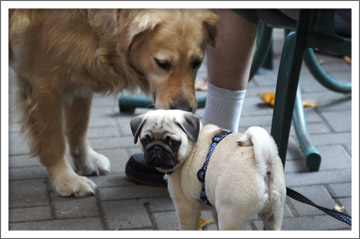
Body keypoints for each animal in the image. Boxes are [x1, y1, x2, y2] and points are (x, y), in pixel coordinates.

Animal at [9, 8, 218, 196]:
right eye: (162, 63)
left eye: (197, 62)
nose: (184, 110)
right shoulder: (44, 80)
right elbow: (54, 141)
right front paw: (66, 179)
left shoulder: (79, 71)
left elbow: (79, 127)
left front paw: (85, 161)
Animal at [131, 109, 286, 230]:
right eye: (145, 141)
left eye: (173, 142)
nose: (156, 149)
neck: (193, 144)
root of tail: (264, 162)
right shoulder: (213, 207)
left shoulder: (185, 207)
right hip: (274, 214)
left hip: (230, 216)